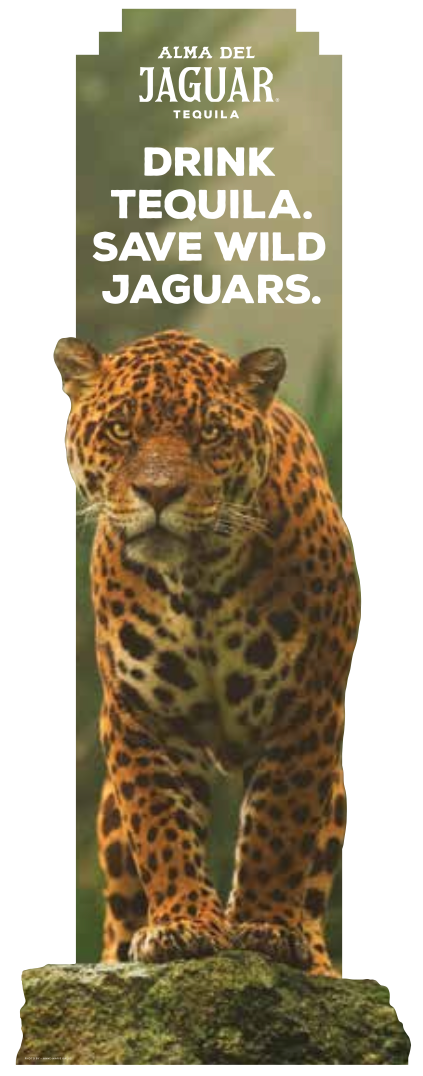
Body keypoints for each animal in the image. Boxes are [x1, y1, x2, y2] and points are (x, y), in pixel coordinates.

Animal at [55, 328, 360, 976]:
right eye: (121, 428)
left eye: (211, 433)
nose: (159, 491)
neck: (195, 579)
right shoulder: (140, 714)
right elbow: (160, 824)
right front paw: (184, 925)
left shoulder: (308, 707)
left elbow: (278, 825)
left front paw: (266, 928)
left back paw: (313, 953)